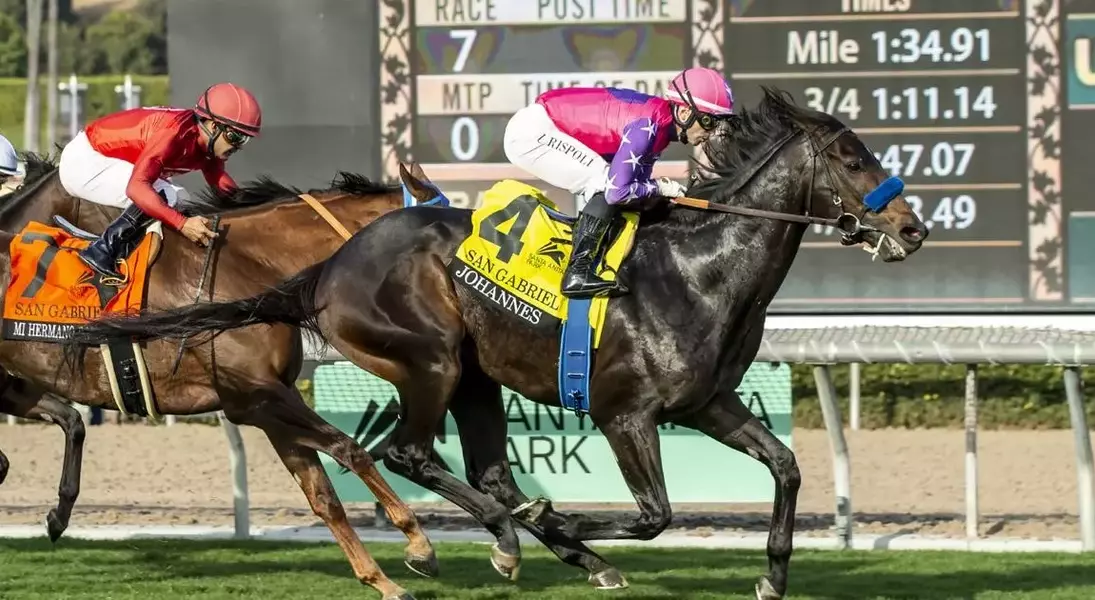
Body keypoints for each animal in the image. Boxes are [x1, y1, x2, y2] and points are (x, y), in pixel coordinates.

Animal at [0, 160, 437, 600]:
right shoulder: (255, 397)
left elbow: (322, 494)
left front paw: (380, 580)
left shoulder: (270, 401)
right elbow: (351, 449)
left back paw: (57, 515)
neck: (246, 268)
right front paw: (417, 543)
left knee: (58, 427)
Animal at [66, 87, 929, 598]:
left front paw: (773, 576)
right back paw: (498, 541)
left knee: (482, 470)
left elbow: (785, 467)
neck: (698, 271)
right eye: (851, 156)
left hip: (476, 379)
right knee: (407, 453)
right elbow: (654, 513)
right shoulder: (625, 415)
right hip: (430, 359)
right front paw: (568, 524)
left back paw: (536, 541)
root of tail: (326, 270)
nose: (912, 227)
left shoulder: (707, 403)